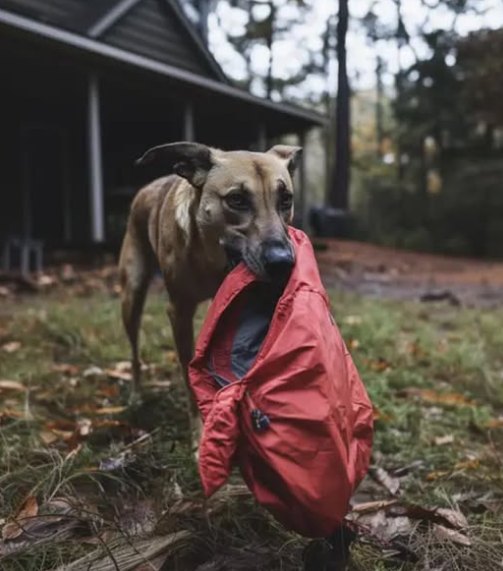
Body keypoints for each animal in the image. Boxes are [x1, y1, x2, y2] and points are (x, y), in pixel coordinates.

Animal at [118, 141, 302, 444]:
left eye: (285, 199)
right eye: (236, 199)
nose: (283, 263)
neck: (212, 260)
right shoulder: (179, 312)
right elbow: (188, 371)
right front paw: (200, 431)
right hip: (132, 296)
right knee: (134, 352)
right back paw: (135, 394)